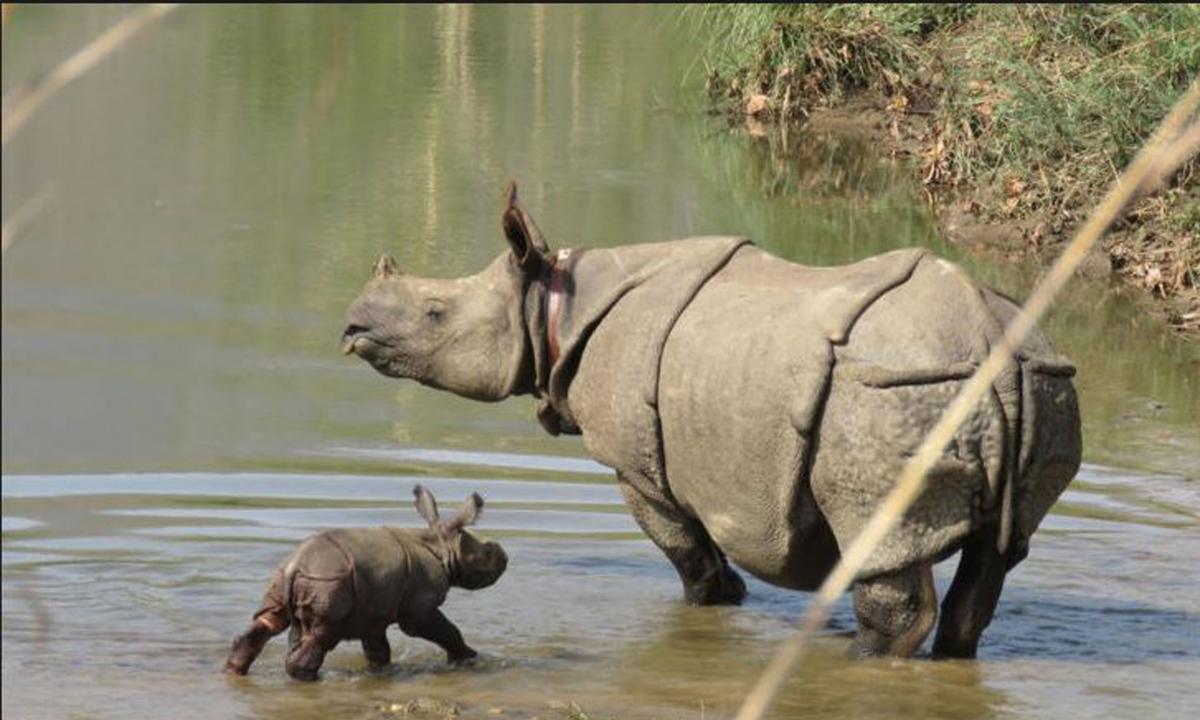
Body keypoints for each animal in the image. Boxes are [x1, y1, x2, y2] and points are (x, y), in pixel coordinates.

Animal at [223, 484, 504, 681]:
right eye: (488, 553)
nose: (505, 557)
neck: (441, 545)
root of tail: (295, 566)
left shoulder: (373, 608)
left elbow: (377, 649)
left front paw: (383, 673)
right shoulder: (419, 607)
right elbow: (444, 630)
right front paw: (468, 659)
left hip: (287, 577)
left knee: (269, 621)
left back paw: (232, 673)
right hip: (329, 583)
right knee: (322, 633)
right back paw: (314, 680)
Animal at [343, 184, 1084, 657]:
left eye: (435, 314)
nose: (352, 328)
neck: (553, 303)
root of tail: (990, 341)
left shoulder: (638, 469)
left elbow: (691, 558)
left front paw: (709, 608)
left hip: (892, 394)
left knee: (884, 546)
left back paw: (861, 658)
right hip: (1039, 385)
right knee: (996, 557)